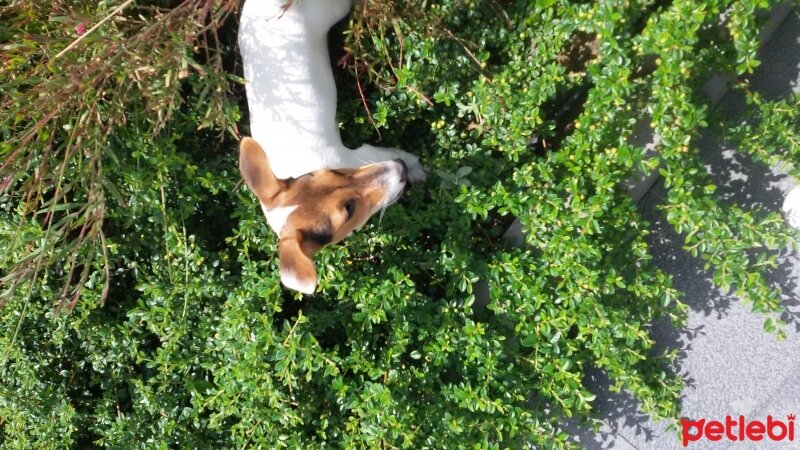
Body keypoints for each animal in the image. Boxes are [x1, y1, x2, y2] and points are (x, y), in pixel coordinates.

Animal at [238, 0, 424, 296]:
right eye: (349, 210)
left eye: (333, 173)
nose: (401, 168)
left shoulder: (364, 154)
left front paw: (418, 168)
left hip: (332, 10)